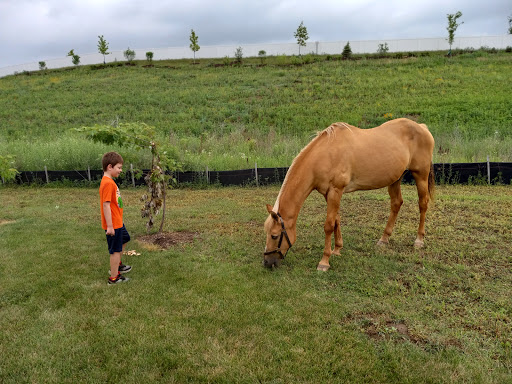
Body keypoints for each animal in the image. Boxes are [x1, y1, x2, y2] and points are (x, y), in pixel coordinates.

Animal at [264, 117, 436, 270]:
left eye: (274, 235)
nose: (266, 262)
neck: (325, 155)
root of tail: (422, 127)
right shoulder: (329, 193)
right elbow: (336, 220)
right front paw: (337, 249)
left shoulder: (336, 190)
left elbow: (328, 225)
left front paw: (324, 262)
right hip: (395, 179)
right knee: (396, 203)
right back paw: (384, 239)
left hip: (420, 175)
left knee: (423, 204)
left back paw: (419, 240)